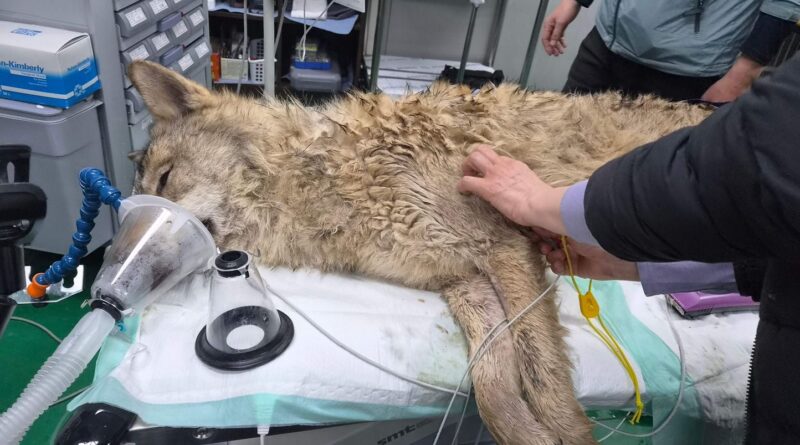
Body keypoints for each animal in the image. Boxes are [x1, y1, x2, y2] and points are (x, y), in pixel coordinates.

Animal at [128, 61, 711, 445]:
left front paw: (568, 434)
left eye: (166, 179)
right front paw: (530, 434)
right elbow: (495, 389)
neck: (324, 177)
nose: (119, 258)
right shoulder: (463, 282)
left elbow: (543, 380)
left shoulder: (505, 247)